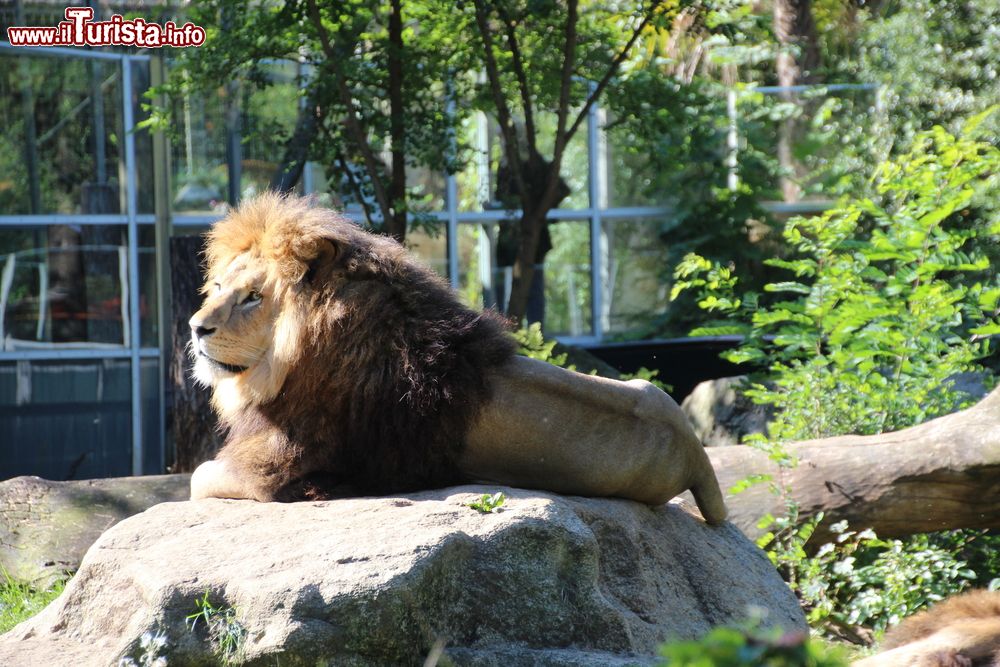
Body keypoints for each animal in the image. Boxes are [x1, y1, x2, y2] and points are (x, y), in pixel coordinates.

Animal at [189, 190, 728, 524]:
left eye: (253, 297)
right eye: (217, 287)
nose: (196, 328)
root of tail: (696, 450)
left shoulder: (275, 466)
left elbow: (198, 477)